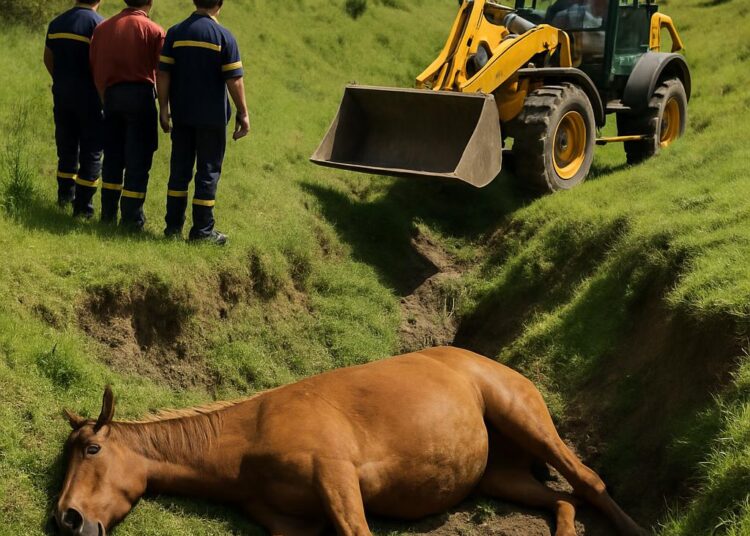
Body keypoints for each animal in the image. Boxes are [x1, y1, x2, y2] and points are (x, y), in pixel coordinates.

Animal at [52, 346, 646, 536]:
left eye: (92, 450)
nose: (67, 519)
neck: (246, 443)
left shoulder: (335, 476)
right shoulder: (293, 525)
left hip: (525, 420)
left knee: (588, 482)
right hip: (499, 475)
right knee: (564, 501)